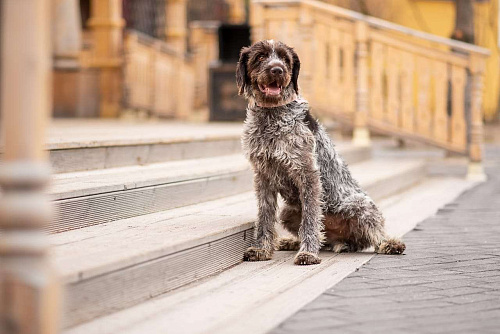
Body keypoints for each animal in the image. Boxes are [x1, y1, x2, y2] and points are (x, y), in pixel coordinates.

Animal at [236, 40, 404, 266]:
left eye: (285, 59)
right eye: (260, 57)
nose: (277, 70)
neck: (271, 116)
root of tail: (339, 239)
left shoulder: (308, 176)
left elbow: (310, 219)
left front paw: (308, 254)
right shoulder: (263, 177)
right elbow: (264, 217)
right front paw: (262, 249)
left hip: (360, 206)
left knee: (373, 236)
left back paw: (388, 244)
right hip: (288, 212)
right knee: (325, 238)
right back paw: (294, 242)